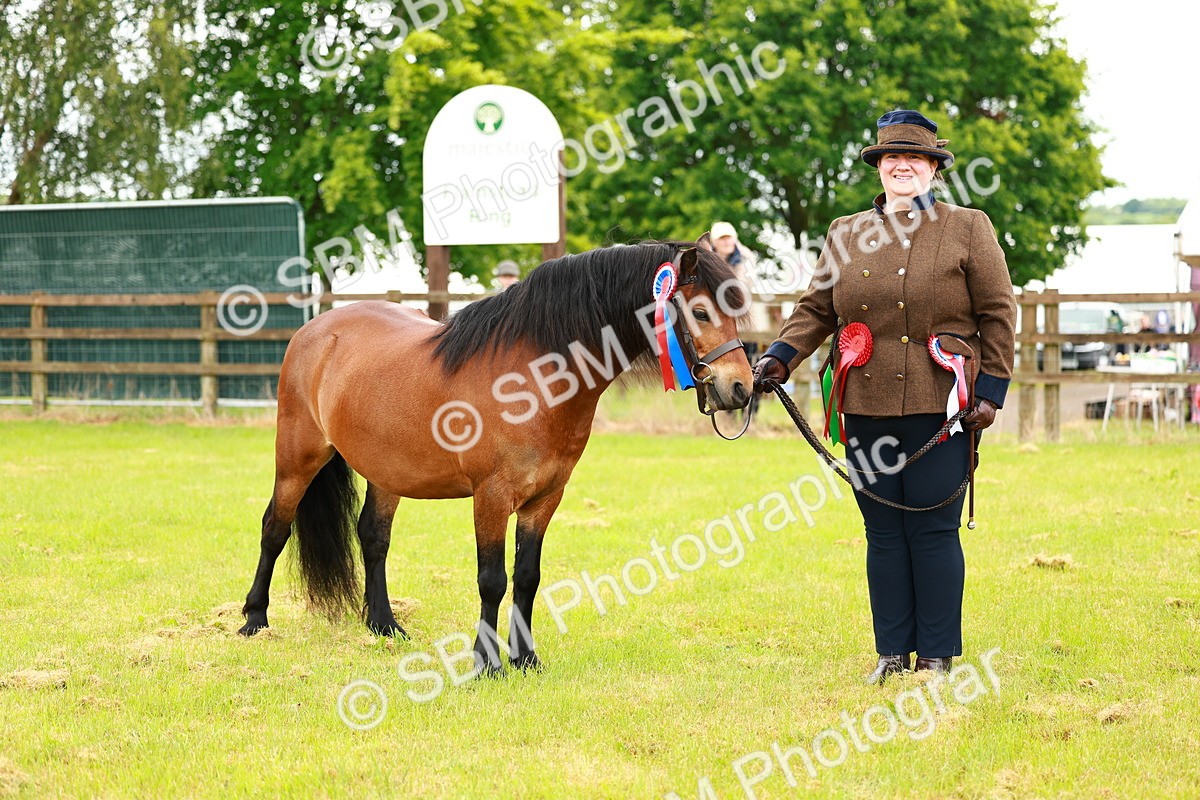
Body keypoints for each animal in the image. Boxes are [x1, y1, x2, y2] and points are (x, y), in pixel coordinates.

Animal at [237, 239, 753, 673]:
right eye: (700, 312)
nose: (741, 387)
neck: (532, 379)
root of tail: (316, 329)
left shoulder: (545, 498)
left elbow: (526, 578)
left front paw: (525, 658)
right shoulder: (491, 496)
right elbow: (492, 580)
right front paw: (487, 662)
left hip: (387, 472)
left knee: (373, 537)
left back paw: (384, 624)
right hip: (298, 457)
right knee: (274, 526)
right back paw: (254, 619)